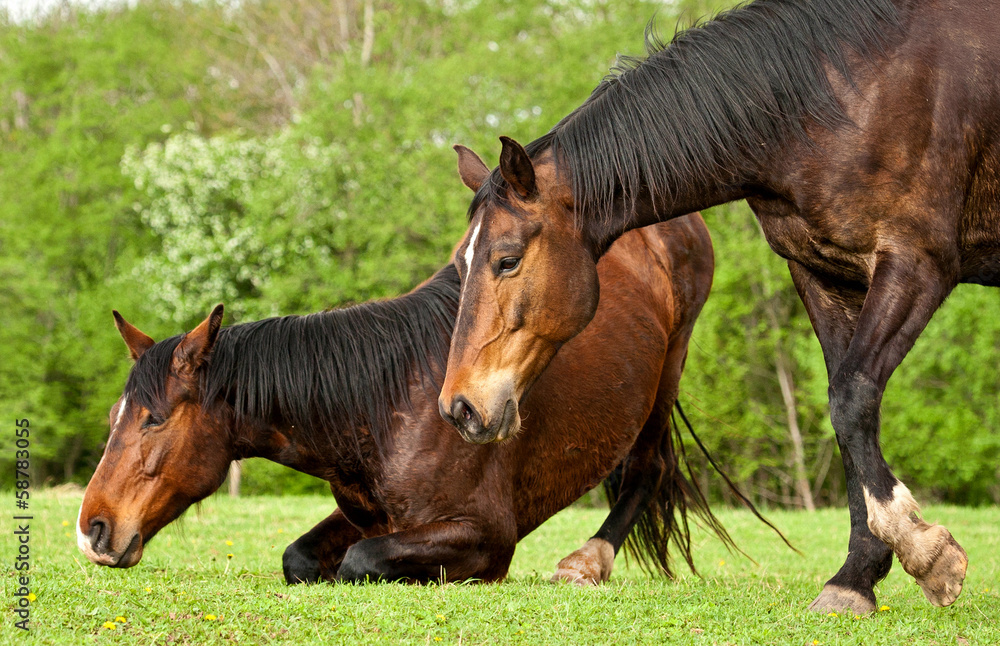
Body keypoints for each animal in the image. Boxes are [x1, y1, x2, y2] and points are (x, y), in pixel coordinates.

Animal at [76, 215, 762, 585]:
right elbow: (301, 558)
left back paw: (586, 562)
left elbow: (360, 562)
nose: (93, 530)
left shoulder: (486, 536)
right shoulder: (369, 518)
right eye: (115, 418)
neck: (384, 404)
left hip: (668, 373)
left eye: (154, 420)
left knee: (648, 468)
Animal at [438, 0, 991, 614]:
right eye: (461, 262)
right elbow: (848, 410)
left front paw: (929, 556)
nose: (459, 407)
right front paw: (855, 577)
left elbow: (851, 397)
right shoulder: (822, 274)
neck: (851, 88)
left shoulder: (917, 262)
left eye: (507, 260)